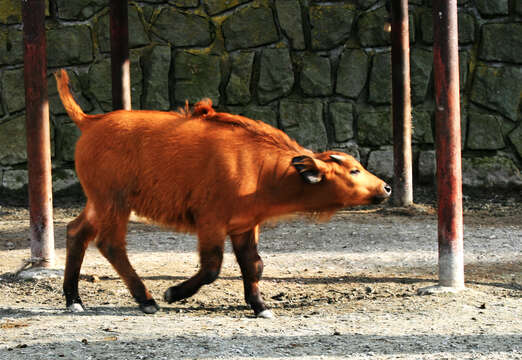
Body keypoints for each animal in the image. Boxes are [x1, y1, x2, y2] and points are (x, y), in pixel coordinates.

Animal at [54, 69, 388, 316]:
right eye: (353, 170)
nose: (386, 186)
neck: (263, 170)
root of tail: (90, 122)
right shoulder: (211, 223)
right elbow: (212, 267)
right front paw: (173, 292)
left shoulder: (245, 226)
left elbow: (254, 264)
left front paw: (259, 306)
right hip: (114, 203)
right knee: (110, 244)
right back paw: (146, 299)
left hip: (99, 203)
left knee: (76, 232)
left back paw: (74, 300)